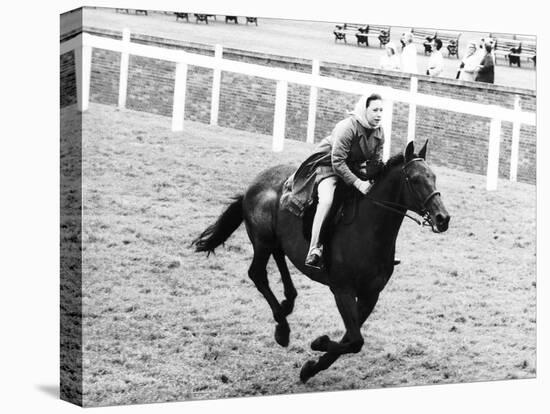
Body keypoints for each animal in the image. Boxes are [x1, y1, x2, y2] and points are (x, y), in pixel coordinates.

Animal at [192, 141, 450, 384]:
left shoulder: (370, 295)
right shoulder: (342, 290)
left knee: (279, 259)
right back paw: (283, 328)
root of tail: (252, 186)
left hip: (276, 240)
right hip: (262, 240)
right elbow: (355, 340)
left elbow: (351, 338)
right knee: (257, 274)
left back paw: (287, 305)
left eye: (434, 177)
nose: (442, 218)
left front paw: (311, 368)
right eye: (415, 179)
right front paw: (319, 343)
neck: (369, 229)